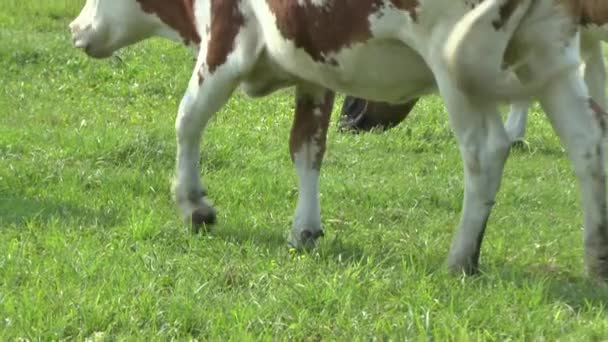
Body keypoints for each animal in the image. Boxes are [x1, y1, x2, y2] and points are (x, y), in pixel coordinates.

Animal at [69, 0, 608, 280]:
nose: (74, 27)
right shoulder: (313, 70)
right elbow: (306, 147)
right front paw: (304, 228)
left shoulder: (228, 40)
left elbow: (187, 119)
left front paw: (193, 205)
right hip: (549, 54)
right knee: (588, 147)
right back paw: (597, 257)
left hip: (457, 63)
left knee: (486, 150)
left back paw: (461, 258)